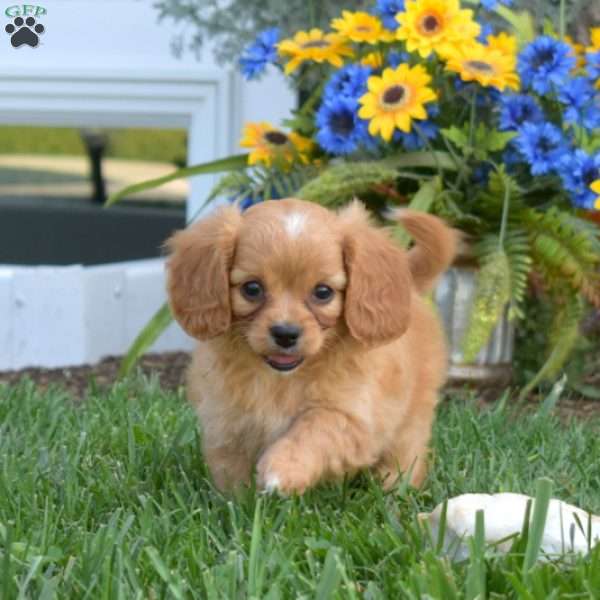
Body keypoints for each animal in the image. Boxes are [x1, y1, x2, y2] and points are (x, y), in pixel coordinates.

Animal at [166, 199, 458, 494]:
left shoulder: (351, 416)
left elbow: (314, 430)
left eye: (323, 292)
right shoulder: (226, 422)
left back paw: (394, 488)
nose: (285, 334)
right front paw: (239, 502)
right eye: (252, 288)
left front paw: (282, 469)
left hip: (412, 418)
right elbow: (232, 476)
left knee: (406, 453)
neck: (281, 380)